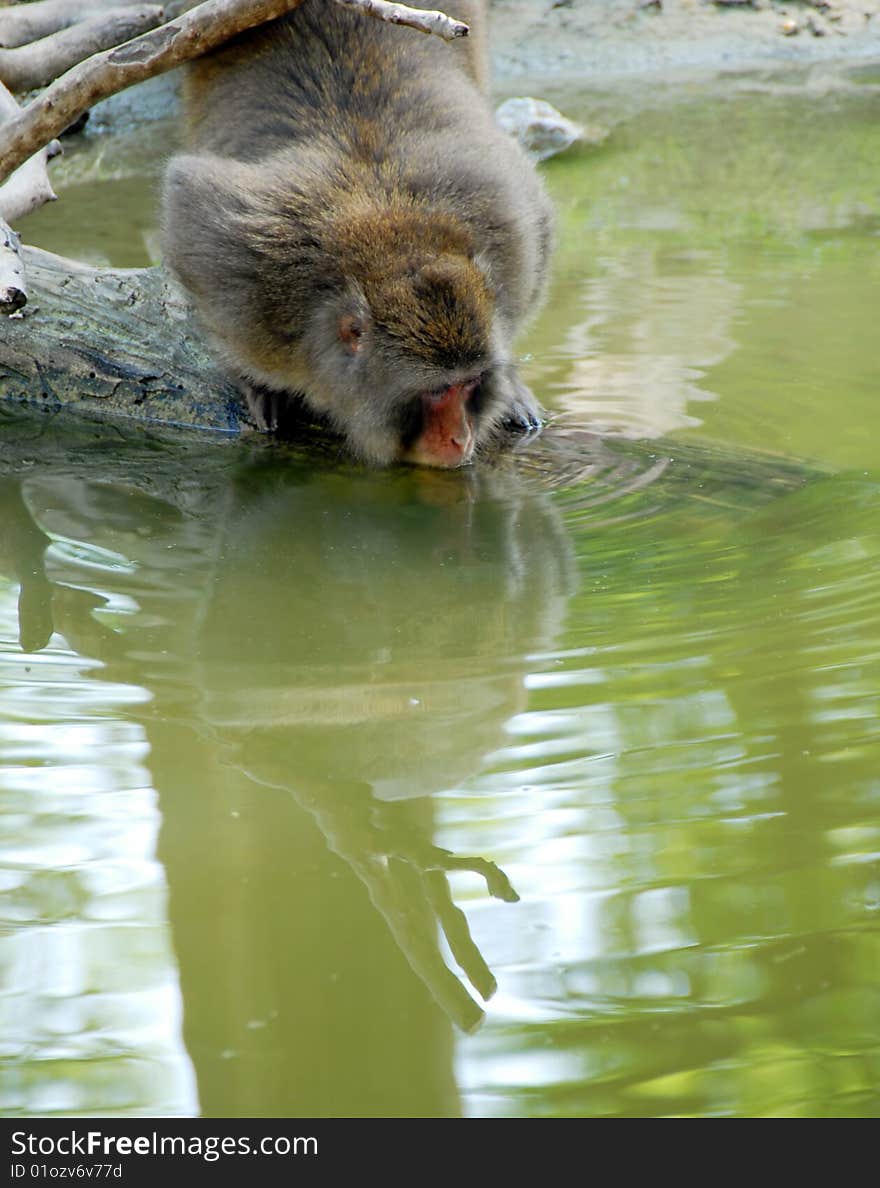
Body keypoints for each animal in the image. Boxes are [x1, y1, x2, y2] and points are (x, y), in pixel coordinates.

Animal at [161, 0, 553, 470]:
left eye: (470, 383)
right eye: (438, 391)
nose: (460, 437)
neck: (392, 241)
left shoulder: (510, 228)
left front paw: (510, 390)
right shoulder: (249, 277)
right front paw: (258, 384)